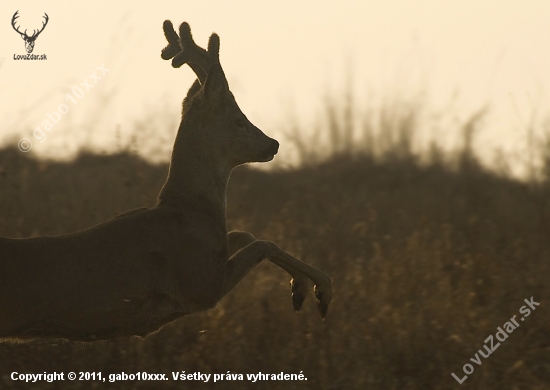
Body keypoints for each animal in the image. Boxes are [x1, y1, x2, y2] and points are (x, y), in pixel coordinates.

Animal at [0, 20, 332, 342]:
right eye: (239, 120)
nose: (273, 144)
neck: (190, 210)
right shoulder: (202, 284)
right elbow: (264, 243)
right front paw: (317, 290)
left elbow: (244, 234)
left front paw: (304, 288)